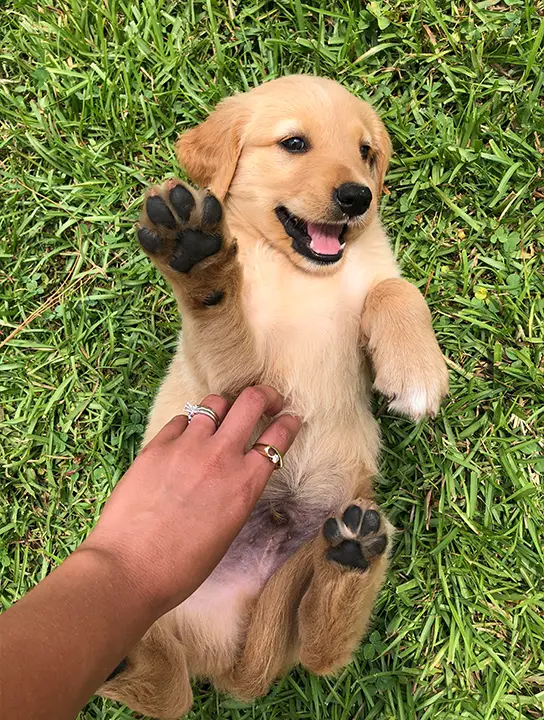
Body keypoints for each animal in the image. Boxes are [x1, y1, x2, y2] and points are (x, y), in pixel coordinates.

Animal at [100, 76, 448, 716]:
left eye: (366, 152)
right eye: (293, 143)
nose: (358, 197)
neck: (300, 272)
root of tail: (229, 661)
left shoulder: (372, 279)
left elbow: (395, 287)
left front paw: (416, 368)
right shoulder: (238, 383)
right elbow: (221, 314)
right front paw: (200, 259)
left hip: (297, 585)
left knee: (319, 654)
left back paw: (352, 559)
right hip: (156, 589)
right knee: (170, 690)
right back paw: (128, 657)